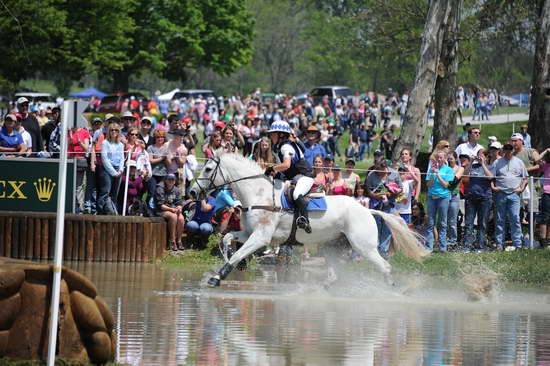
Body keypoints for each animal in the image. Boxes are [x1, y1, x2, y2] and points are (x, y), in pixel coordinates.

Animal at [190, 153, 432, 288]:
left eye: (209, 169)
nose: (192, 192)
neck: (258, 193)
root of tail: (367, 210)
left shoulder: (261, 237)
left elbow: (238, 252)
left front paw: (217, 277)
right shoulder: (251, 233)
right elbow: (227, 239)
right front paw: (225, 261)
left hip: (364, 247)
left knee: (385, 267)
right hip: (333, 246)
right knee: (334, 274)